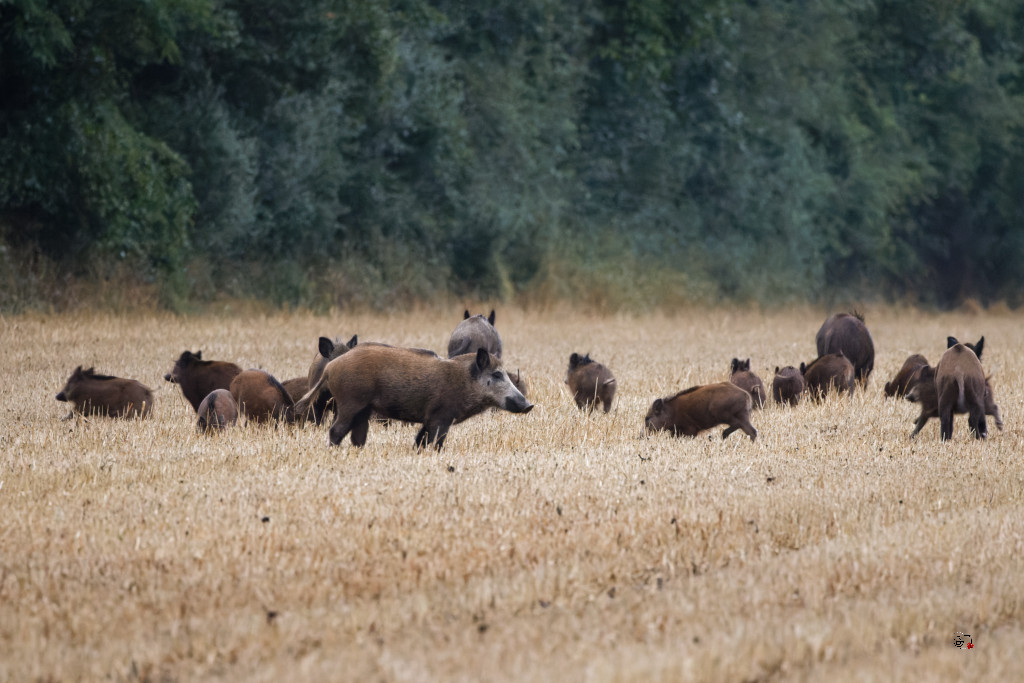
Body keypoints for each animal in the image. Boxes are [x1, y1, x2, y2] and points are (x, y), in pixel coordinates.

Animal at [297, 346, 532, 449]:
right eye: (497, 374)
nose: (529, 405)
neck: (463, 382)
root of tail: (330, 368)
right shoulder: (441, 417)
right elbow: (436, 442)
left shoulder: (429, 419)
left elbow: (420, 440)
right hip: (350, 402)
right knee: (335, 431)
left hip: (362, 409)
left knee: (357, 436)